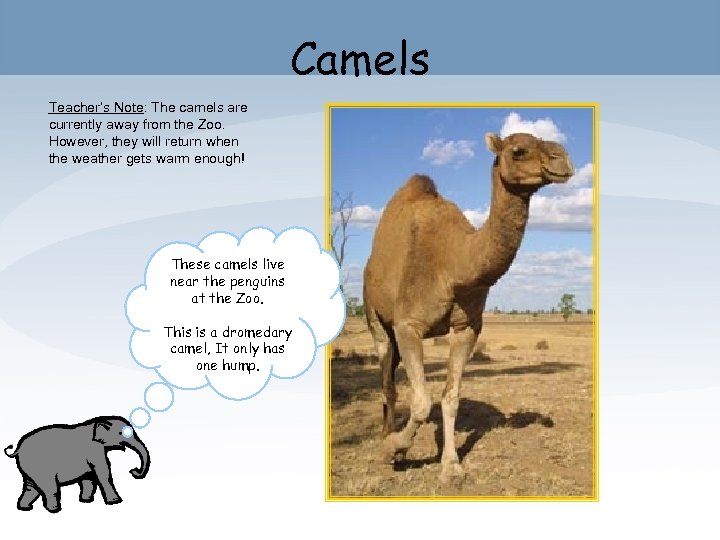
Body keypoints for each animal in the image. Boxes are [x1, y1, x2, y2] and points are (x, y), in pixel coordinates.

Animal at [363, 132, 574, 482]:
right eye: (518, 150)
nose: (564, 159)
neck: (454, 264)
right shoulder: (408, 325)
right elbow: (422, 402)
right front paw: (395, 449)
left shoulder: (467, 327)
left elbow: (451, 397)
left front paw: (451, 467)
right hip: (375, 315)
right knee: (387, 381)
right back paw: (385, 439)